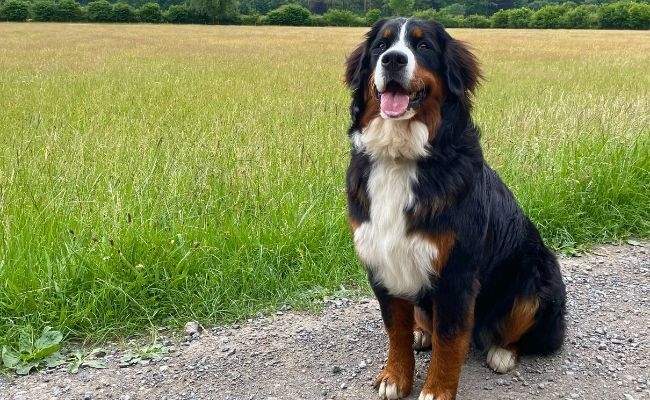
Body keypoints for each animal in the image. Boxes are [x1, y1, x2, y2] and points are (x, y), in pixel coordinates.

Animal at [344, 17, 560, 398]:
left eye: (423, 46)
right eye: (380, 46)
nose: (393, 59)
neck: (401, 159)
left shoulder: (456, 271)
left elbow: (450, 338)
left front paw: (437, 390)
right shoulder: (381, 259)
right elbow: (395, 329)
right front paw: (395, 376)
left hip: (536, 281)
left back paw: (502, 352)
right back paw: (421, 332)